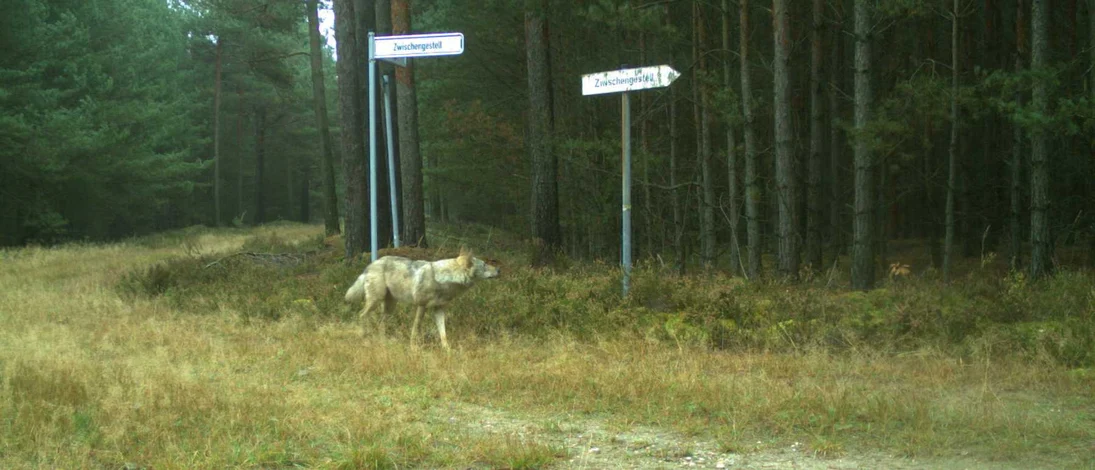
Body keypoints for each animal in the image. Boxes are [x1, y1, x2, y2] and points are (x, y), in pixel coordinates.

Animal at [344, 252, 500, 349]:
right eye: (484, 265)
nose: (499, 270)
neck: (445, 281)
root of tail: (372, 263)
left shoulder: (439, 310)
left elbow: (443, 334)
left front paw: (448, 350)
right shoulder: (421, 306)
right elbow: (415, 329)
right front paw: (413, 348)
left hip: (389, 307)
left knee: (381, 322)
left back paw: (383, 342)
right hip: (375, 301)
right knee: (361, 315)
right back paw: (364, 338)